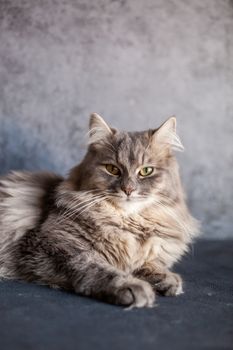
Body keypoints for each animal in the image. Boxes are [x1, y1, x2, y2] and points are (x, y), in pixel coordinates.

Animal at [0, 113, 198, 308]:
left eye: (146, 171)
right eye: (112, 169)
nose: (128, 189)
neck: (128, 222)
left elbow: (146, 264)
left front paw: (167, 279)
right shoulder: (49, 245)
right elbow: (96, 267)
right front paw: (132, 286)